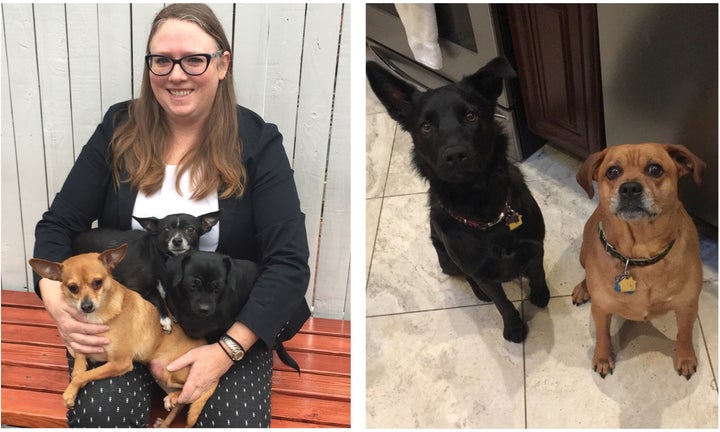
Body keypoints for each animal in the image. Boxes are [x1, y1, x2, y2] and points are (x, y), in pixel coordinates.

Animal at [28, 245, 218, 426]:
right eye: (72, 288)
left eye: (97, 282)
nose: (86, 306)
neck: (98, 316)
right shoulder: (84, 342)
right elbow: (79, 365)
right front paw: (74, 384)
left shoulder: (120, 362)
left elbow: (84, 375)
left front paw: (69, 392)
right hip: (160, 376)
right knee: (182, 404)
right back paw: (166, 421)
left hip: (169, 371)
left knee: (191, 390)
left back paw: (174, 397)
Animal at [72, 211, 222, 332]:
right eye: (166, 230)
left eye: (190, 229)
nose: (177, 240)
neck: (164, 258)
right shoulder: (137, 287)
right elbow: (157, 296)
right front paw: (166, 319)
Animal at [368, 57, 548, 342]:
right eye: (426, 127)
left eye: (471, 115)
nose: (454, 155)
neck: (486, 213)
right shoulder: (482, 271)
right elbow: (502, 303)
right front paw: (514, 327)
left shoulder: (535, 246)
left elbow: (538, 272)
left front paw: (540, 294)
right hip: (448, 262)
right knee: (467, 277)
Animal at [572, 144, 704, 378]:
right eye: (613, 172)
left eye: (655, 169)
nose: (630, 188)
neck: (639, 253)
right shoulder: (601, 309)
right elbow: (602, 334)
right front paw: (603, 357)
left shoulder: (687, 306)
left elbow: (685, 334)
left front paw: (686, 357)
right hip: (583, 253)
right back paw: (582, 288)